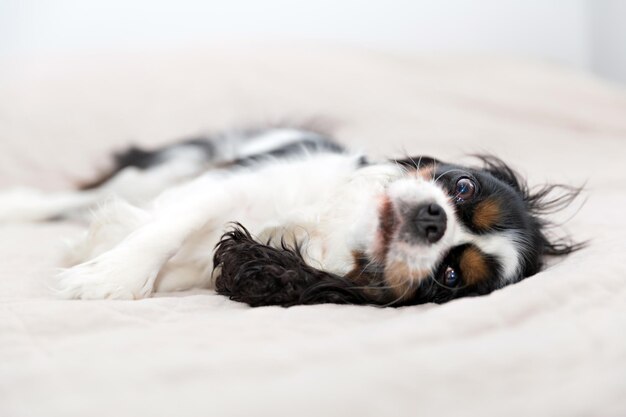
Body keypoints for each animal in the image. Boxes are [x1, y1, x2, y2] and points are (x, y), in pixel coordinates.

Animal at [0, 125, 580, 304]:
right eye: (462, 186)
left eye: (451, 275)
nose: (434, 221)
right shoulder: (232, 181)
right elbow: (168, 227)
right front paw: (112, 274)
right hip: (171, 163)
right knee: (82, 195)